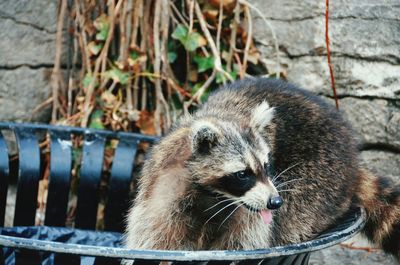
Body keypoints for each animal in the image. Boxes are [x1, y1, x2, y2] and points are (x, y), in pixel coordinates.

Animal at [125, 77, 400, 258]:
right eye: (242, 174)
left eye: (267, 166)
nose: (274, 202)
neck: (214, 197)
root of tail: (354, 160)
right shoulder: (164, 187)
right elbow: (155, 236)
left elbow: (244, 243)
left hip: (322, 176)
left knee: (292, 216)